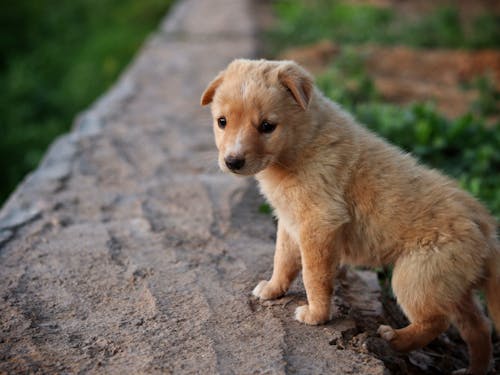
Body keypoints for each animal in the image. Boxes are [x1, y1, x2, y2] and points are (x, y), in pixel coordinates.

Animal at [201, 59, 498, 375]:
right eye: (222, 121)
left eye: (267, 126)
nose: (232, 162)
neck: (304, 142)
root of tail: (486, 227)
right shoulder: (291, 223)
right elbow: (282, 260)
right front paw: (272, 289)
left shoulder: (319, 223)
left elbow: (313, 276)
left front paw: (316, 315)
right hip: (451, 284)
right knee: (478, 327)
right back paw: (471, 370)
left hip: (417, 276)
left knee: (436, 321)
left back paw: (394, 339)